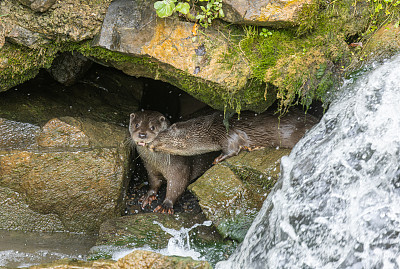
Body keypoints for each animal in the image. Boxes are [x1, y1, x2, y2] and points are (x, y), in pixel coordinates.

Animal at [147, 108, 318, 162]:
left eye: (158, 136)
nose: (148, 145)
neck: (207, 129)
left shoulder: (226, 133)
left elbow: (232, 149)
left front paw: (217, 159)